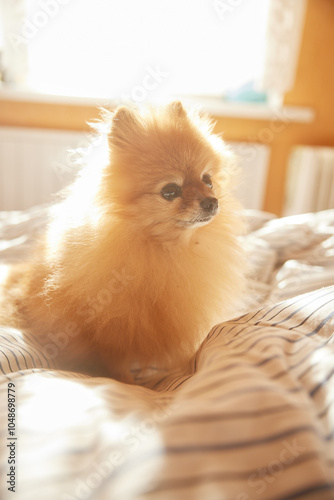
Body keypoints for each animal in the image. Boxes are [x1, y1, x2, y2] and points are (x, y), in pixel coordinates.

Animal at [2, 100, 245, 382]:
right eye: (170, 191)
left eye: (208, 180)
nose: (211, 202)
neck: (162, 249)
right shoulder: (114, 329)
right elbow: (118, 364)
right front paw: (132, 383)